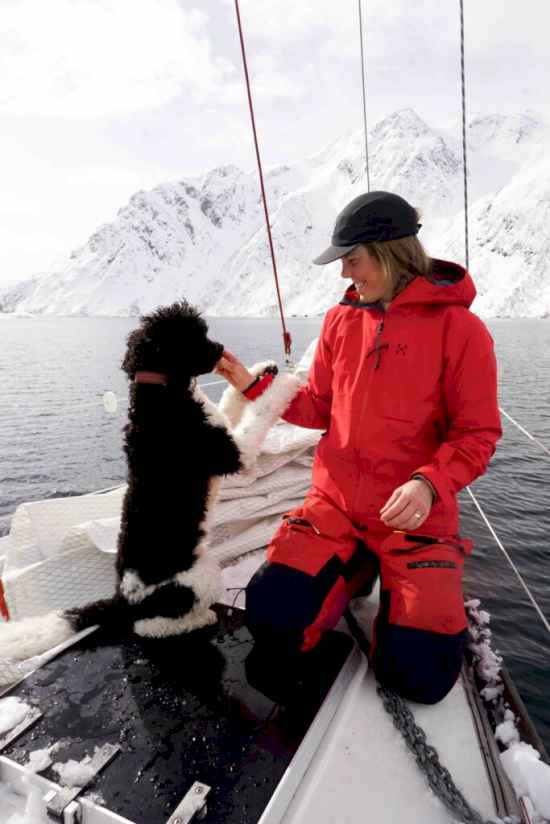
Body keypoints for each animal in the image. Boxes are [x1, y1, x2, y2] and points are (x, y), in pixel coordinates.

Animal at [0, 301, 301, 664]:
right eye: (193, 336)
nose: (219, 350)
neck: (163, 392)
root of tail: (123, 599)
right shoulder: (234, 453)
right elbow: (261, 410)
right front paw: (286, 383)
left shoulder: (221, 424)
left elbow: (235, 399)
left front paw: (262, 371)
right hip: (197, 577)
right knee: (148, 627)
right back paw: (201, 618)